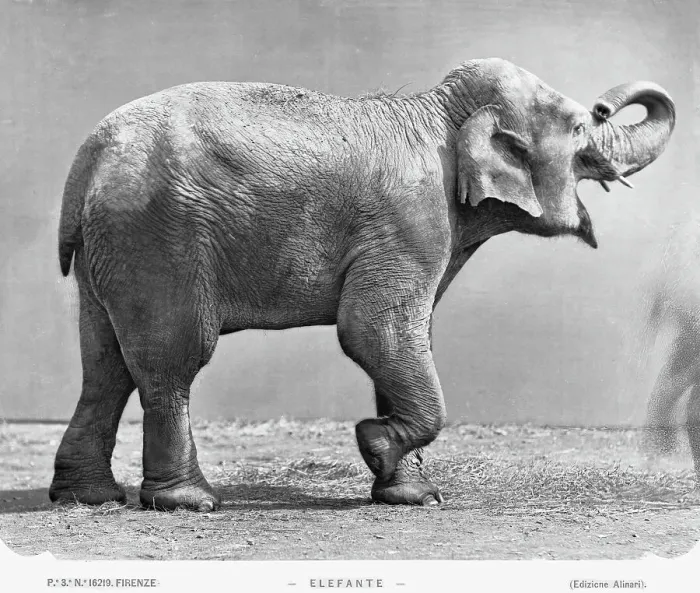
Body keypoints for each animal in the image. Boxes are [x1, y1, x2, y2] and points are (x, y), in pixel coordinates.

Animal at [50, 58, 675, 512]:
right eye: (579, 126)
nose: (603, 103)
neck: (440, 110)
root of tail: (87, 158)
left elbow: (409, 340)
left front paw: (414, 496)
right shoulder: (411, 220)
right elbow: (375, 330)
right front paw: (374, 445)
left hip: (112, 249)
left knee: (105, 363)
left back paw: (89, 498)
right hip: (159, 239)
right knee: (171, 360)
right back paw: (189, 503)